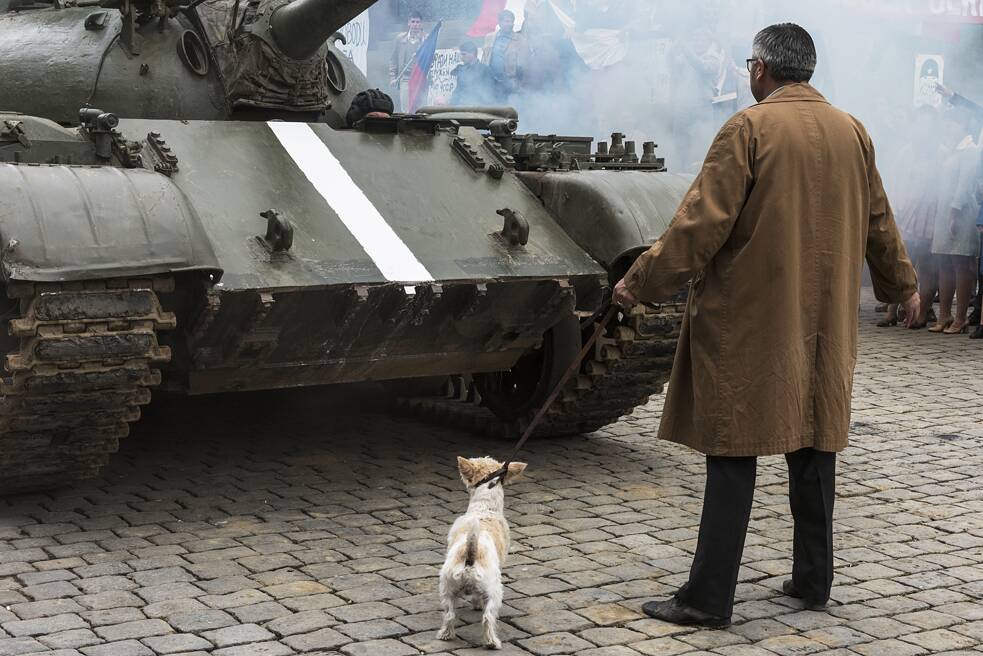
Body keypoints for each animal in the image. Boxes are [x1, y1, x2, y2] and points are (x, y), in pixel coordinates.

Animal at [438, 458, 528, 648]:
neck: (484, 508)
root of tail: (470, 557)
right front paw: (477, 605)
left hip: (447, 589)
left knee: (449, 614)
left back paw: (445, 634)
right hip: (494, 591)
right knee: (487, 618)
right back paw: (492, 642)